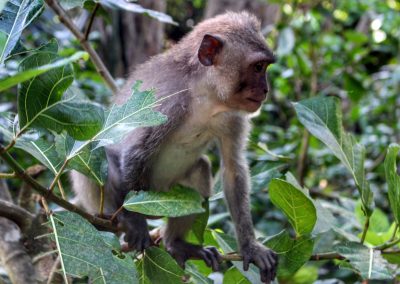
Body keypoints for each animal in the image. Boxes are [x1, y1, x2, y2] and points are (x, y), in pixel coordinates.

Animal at [71, 10, 278, 282]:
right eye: (257, 67)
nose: (265, 90)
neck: (204, 95)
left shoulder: (231, 116)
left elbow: (233, 169)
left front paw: (250, 247)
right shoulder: (165, 103)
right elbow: (129, 153)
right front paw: (134, 221)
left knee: (200, 173)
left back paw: (174, 243)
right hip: (98, 197)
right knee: (103, 151)